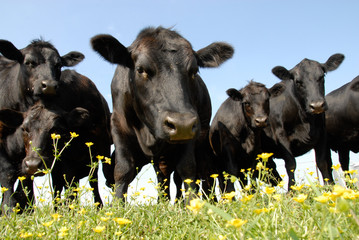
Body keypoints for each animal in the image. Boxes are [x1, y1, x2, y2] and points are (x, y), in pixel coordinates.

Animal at [0, 39, 84, 212]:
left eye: (59, 65)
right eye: (29, 62)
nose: (50, 85)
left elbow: (26, 177)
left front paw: (24, 207)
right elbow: (7, 174)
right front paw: (9, 209)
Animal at [91, 26, 235, 202]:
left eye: (194, 71)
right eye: (141, 69)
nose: (180, 123)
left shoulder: (190, 128)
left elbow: (187, 169)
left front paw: (192, 203)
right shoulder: (118, 125)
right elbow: (123, 169)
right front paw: (117, 204)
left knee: (203, 172)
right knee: (163, 176)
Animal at [262, 54, 344, 189]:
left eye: (322, 76)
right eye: (298, 82)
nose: (317, 105)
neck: (306, 121)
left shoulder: (322, 134)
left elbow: (322, 162)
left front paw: (328, 187)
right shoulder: (281, 135)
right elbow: (290, 164)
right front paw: (292, 189)